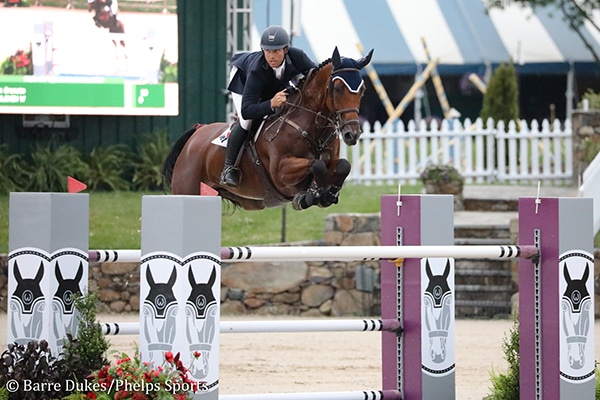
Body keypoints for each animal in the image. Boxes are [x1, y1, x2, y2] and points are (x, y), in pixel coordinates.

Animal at [162, 46, 372, 209]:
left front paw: (328, 194)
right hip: (188, 188)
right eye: (337, 88)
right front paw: (312, 195)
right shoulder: (281, 173)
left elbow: (343, 165)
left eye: (363, 90)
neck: (313, 128)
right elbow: (316, 164)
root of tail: (196, 133)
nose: (352, 134)